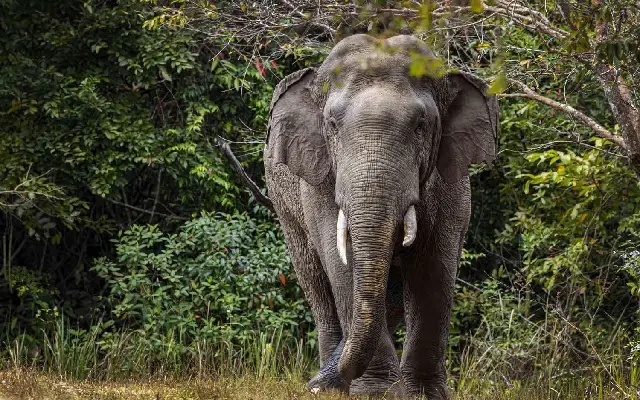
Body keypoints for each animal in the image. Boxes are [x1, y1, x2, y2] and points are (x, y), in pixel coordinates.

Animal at [263, 34, 498, 398]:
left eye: (420, 126)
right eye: (332, 125)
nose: (314, 384)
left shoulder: (451, 180)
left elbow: (435, 268)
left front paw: (423, 394)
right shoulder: (318, 179)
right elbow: (341, 262)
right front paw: (377, 392)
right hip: (283, 203)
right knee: (315, 280)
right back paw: (329, 387)